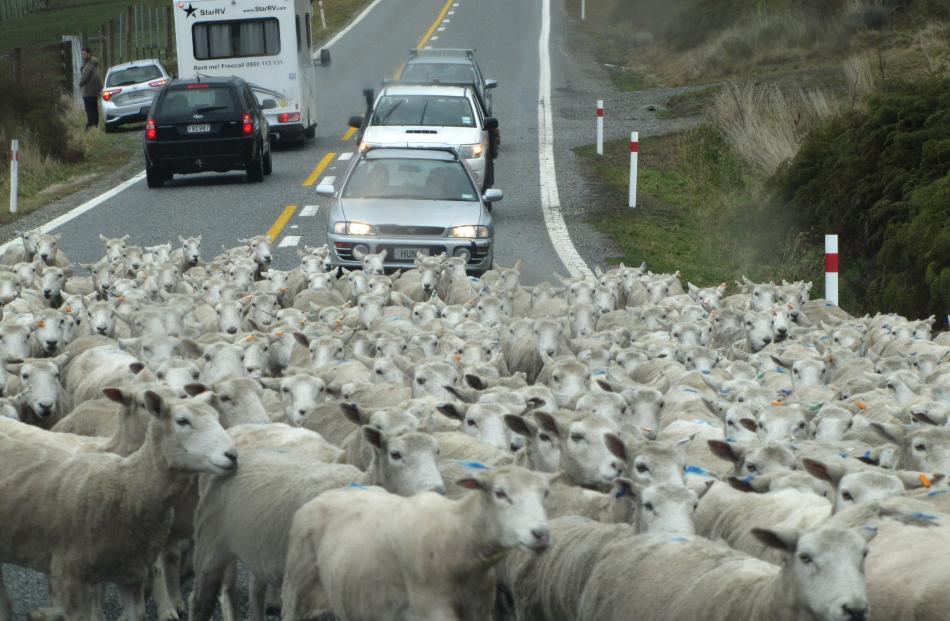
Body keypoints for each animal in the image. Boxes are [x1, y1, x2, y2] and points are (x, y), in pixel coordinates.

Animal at [278, 464, 556, 620]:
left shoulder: (480, 610)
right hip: (296, 591)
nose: (541, 534)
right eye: (500, 493)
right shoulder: (431, 608)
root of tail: (324, 495)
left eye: (545, 494)